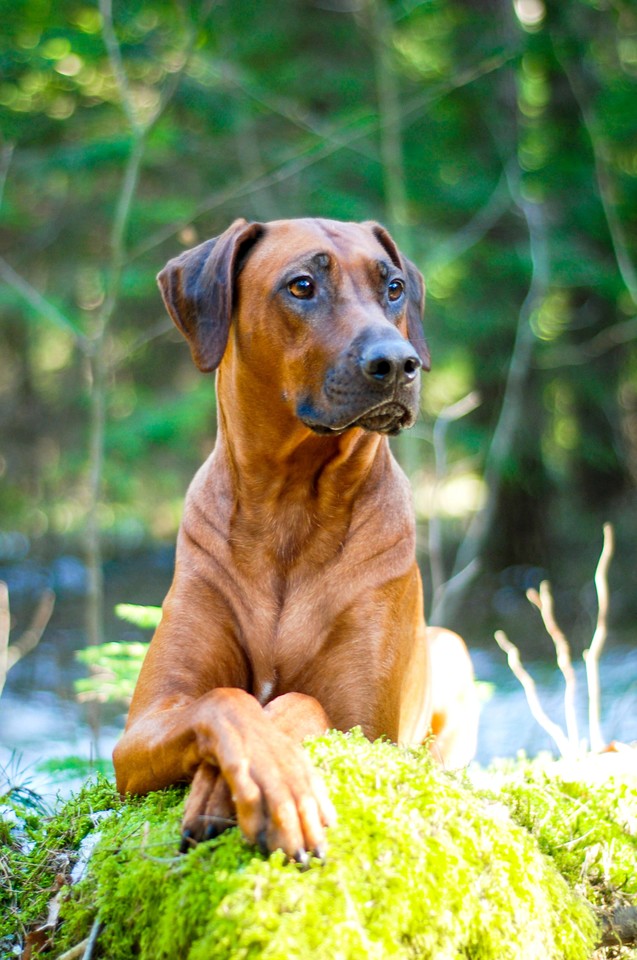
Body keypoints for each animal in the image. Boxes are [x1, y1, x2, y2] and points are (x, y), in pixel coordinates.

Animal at [112, 218, 474, 864]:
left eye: (395, 288)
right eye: (301, 285)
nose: (399, 362)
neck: (289, 504)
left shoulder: (370, 728)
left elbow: (302, 704)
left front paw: (242, 788)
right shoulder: (140, 728)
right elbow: (224, 700)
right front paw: (257, 779)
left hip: (450, 649)